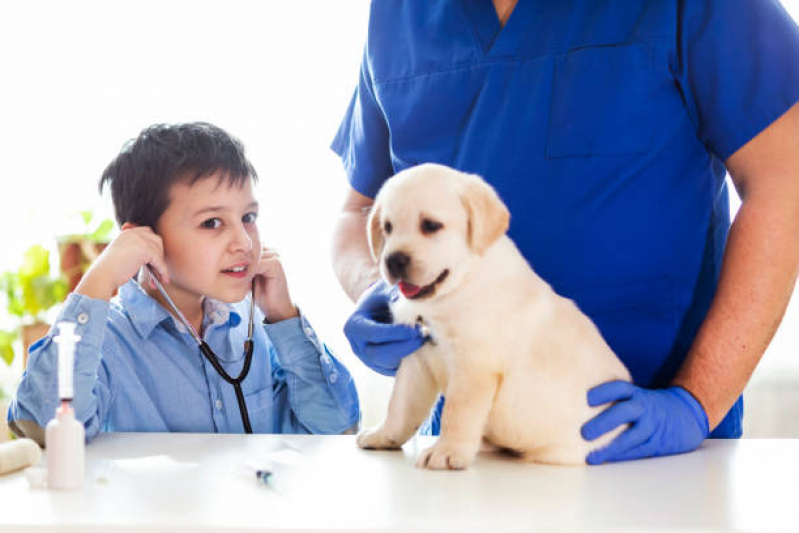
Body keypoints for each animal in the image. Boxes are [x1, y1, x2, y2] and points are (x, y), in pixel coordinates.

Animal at [360, 162, 636, 466]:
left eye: (430, 225)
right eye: (387, 227)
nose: (393, 260)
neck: (457, 289)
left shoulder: (474, 367)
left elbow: (457, 413)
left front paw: (447, 451)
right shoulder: (416, 358)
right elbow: (399, 404)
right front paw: (384, 435)